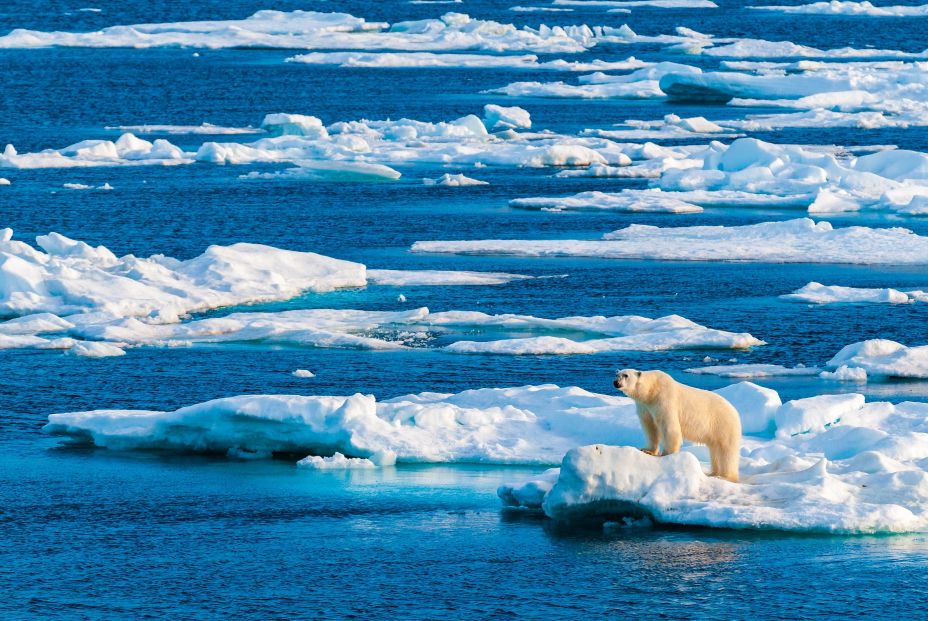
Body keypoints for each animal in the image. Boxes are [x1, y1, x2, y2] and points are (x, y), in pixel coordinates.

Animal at [613, 369, 741, 483]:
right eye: (616, 374)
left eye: (625, 375)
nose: (615, 383)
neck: (651, 390)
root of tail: (735, 411)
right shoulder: (645, 406)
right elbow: (650, 427)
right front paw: (647, 450)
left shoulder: (664, 399)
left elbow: (669, 427)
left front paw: (666, 454)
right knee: (715, 450)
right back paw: (714, 473)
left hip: (723, 424)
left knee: (726, 450)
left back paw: (725, 476)